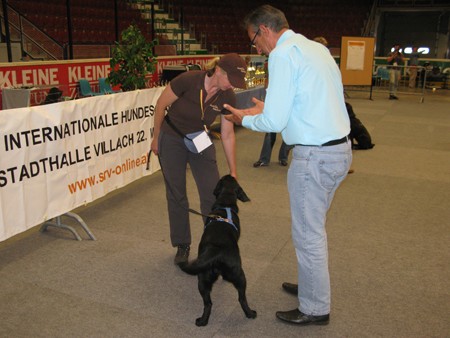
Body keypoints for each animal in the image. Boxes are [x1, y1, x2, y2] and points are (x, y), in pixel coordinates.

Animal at [178, 176, 256, 326]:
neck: (225, 204)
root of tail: (216, 252)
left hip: (203, 279)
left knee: (208, 303)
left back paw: (202, 321)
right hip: (240, 275)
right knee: (241, 298)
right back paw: (250, 313)